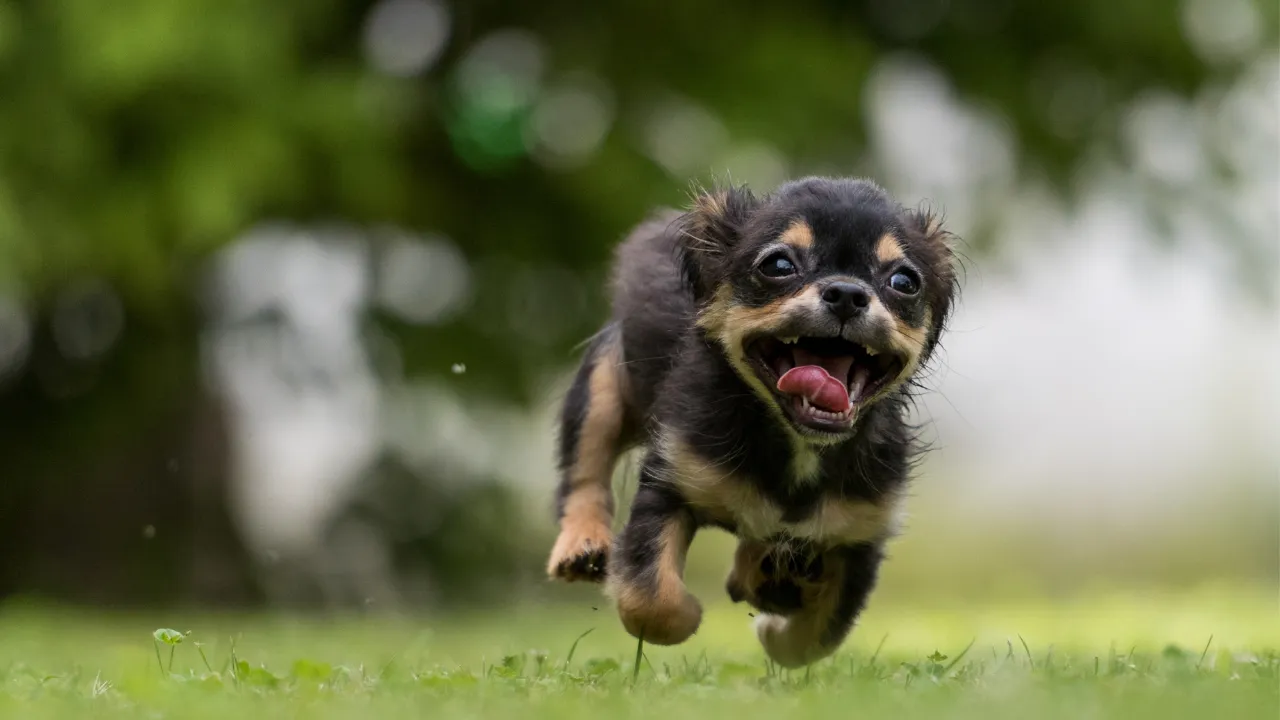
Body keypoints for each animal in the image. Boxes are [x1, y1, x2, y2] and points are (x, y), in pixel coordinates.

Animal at [545, 175, 957, 666]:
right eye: (778, 265)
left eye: (903, 282)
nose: (847, 293)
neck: (798, 444)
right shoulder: (670, 482)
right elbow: (652, 601)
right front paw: (691, 613)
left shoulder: (859, 536)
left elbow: (814, 639)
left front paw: (773, 626)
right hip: (603, 387)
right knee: (585, 471)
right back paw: (581, 545)